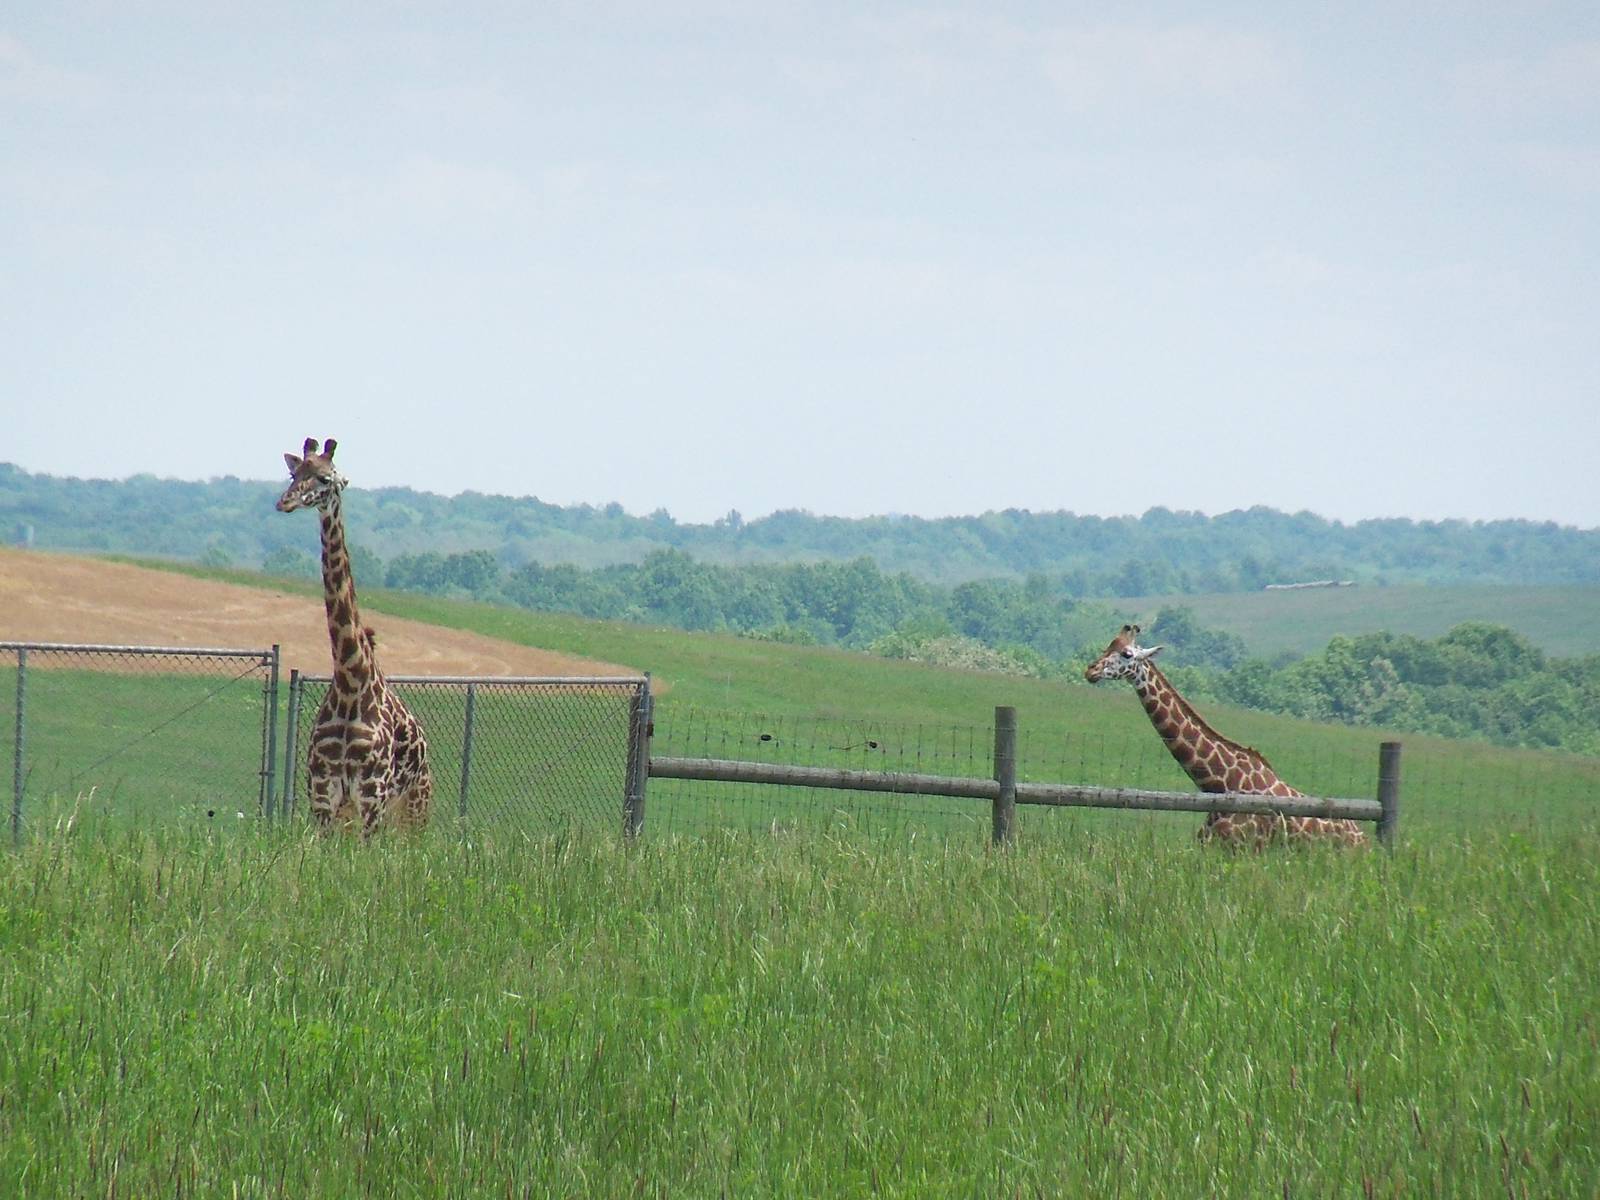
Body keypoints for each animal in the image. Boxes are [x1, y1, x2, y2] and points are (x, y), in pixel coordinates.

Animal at [276, 437, 432, 835]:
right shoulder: (323, 792)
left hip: (413, 809)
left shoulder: (371, 794)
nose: (284, 502)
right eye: (294, 474)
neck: (351, 682)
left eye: (324, 477)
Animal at [1084, 624, 1366, 849]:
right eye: (1108, 645)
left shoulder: (1244, 849)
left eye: (1127, 654)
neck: (1219, 783)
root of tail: (1364, 839)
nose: (1091, 671)